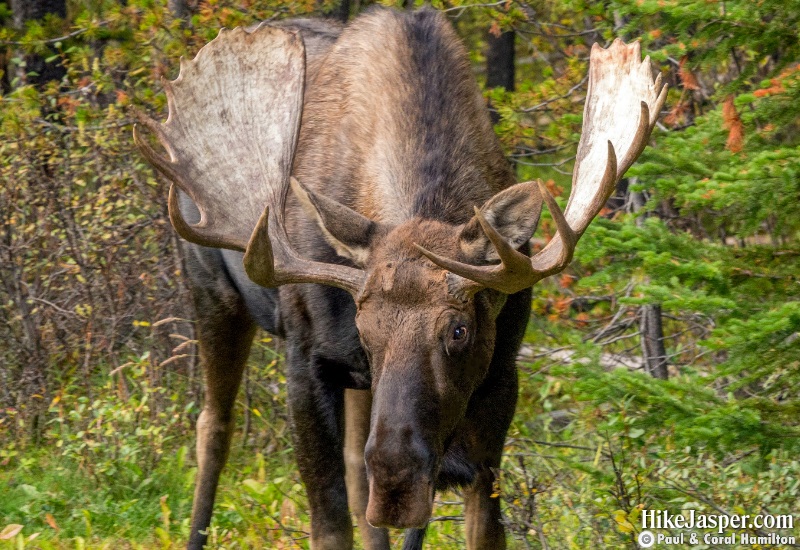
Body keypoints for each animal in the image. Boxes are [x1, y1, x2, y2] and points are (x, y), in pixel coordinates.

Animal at [134, 5, 664, 550]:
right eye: (365, 329)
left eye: (459, 330)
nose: (396, 482)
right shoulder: (306, 359)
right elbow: (329, 526)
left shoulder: (500, 376)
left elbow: (481, 530)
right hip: (213, 294)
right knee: (214, 426)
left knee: (353, 466)